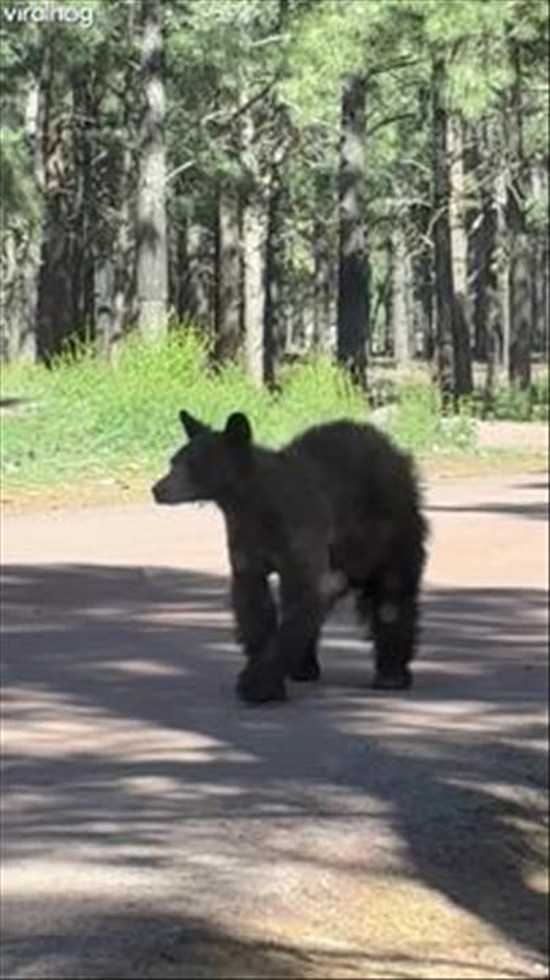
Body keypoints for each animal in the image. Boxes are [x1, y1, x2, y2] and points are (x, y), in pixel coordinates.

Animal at [152, 410, 428, 704]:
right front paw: (261, 674)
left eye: (194, 465)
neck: (252, 504)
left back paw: (392, 674)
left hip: (390, 527)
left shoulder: (298, 532)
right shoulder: (246, 543)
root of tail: (389, 446)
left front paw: (258, 685)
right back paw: (304, 668)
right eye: (173, 461)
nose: (157, 489)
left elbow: (302, 597)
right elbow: (253, 604)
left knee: (393, 595)